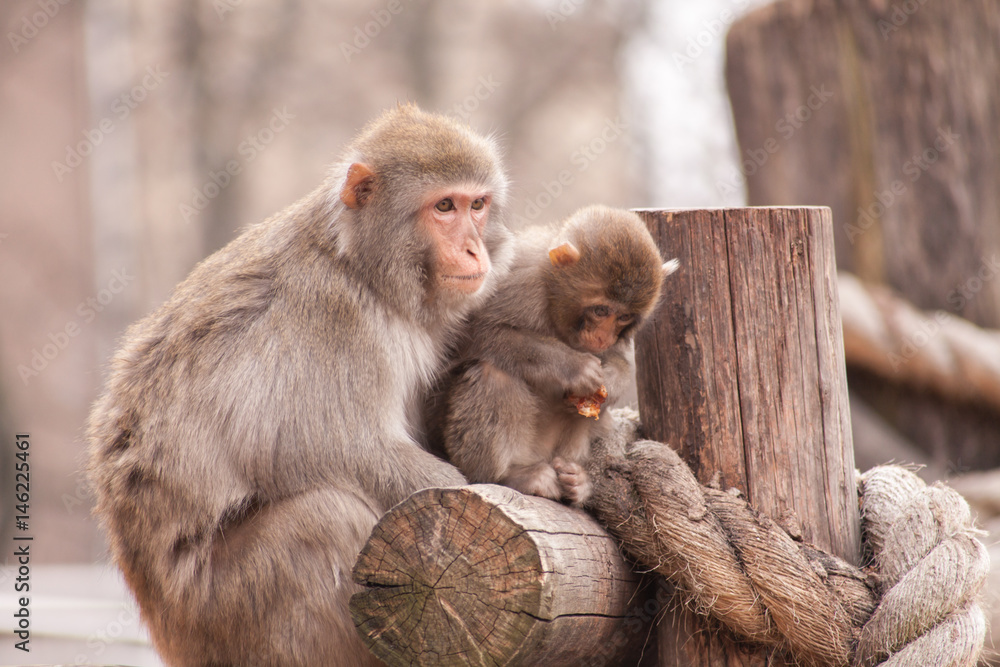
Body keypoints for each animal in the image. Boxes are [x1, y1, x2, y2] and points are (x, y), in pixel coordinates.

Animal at [86, 104, 513, 667]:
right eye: (444, 206)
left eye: (477, 205)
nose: (473, 250)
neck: (358, 267)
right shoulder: (333, 317)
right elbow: (340, 447)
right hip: (223, 606)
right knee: (325, 516)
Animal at [441, 205, 678, 507]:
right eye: (601, 310)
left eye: (624, 317)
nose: (602, 337)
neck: (554, 299)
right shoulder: (518, 280)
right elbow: (475, 335)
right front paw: (573, 368)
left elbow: (619, 363)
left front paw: (609, 381)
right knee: (492, 374)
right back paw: (508, 476)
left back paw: (577, 483)